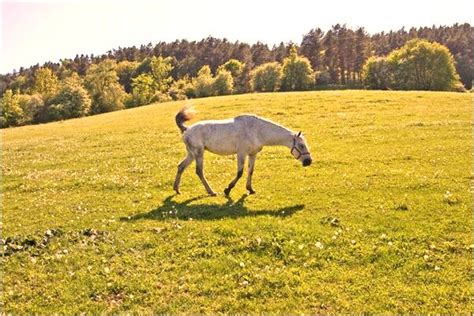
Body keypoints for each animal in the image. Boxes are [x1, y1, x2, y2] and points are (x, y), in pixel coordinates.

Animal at [172, 107, 312, 195]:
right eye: (301, 145)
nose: (308, 161)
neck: (257, 130)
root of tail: (186, 129)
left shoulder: (252, 154)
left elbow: (250, 171)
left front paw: (250, 189)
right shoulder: (241, 153)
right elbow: (240, 173)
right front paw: (228, 189)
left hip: (191, 154)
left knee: (180, 167)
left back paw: (177, 189)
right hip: (199, 154)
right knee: (199, 172)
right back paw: (211, 192)